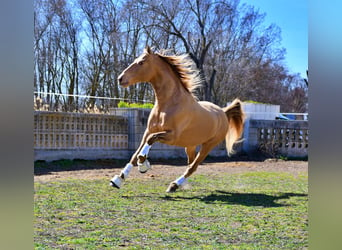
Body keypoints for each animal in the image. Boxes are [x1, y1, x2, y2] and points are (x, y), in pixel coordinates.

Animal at [109, 46, 243, 192]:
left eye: (141, 62)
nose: (120, 79)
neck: (167, 105)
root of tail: (223, 112)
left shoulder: (171, 136)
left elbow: (150, 141)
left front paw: (143, 164)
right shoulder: (148, 131)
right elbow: (135, 153)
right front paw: (118, 179)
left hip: (208, 146)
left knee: (193, 167)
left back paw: (174, 185)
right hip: (190, 145)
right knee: (190, 163)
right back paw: (181, 184)